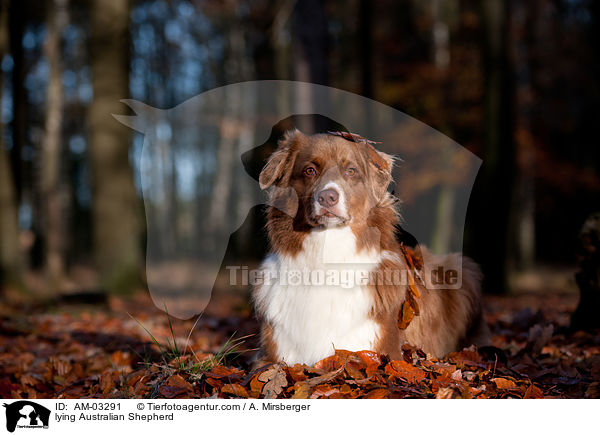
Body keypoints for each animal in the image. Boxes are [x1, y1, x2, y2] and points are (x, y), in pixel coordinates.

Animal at [251, 130, 490, 368]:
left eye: (351, 170)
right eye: (310, 170)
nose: (327, 197)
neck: (327, 257)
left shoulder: (379, 350)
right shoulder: (271, 356)